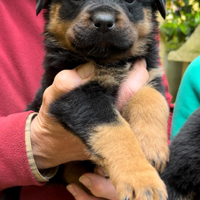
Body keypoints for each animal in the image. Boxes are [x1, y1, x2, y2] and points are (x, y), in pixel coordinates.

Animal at [28, 0, 170, 199]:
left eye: (130, 1)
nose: (103, 22)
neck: (109, 62)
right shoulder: (76, 94)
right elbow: (116, 131)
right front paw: (142, 180)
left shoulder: (150, 72)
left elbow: (152, 98)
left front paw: (152, 147)